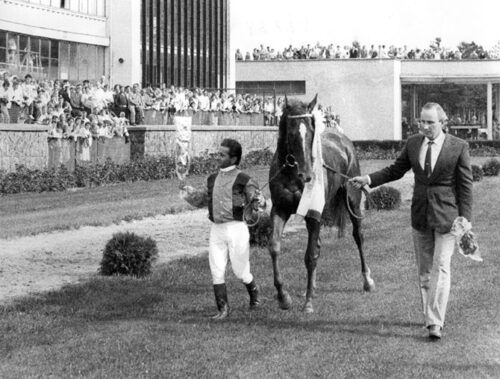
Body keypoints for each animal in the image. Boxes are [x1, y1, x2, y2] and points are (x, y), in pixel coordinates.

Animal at [268, 95, 374, 314]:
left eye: (310, 131)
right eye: (291, 132)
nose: (307, 175)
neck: (292, 173)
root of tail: (343, 140)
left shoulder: (313, 213)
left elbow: (310, 256)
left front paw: (308, 302)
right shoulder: (280, 209)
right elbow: (274, 247)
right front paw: (284, 297)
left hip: (352, 200)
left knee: (358, 237)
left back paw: (367, 280)